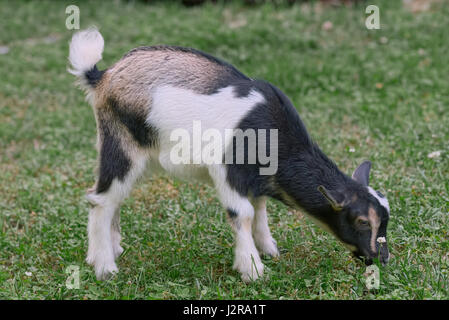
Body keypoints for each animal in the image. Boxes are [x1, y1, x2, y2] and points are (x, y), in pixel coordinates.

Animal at [67, 28, 388, 282]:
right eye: (362, 221)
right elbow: (242, 213)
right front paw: (252, 270)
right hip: (121, 144)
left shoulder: (256, 179)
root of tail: (102, 77)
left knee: (113, 196)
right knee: (101, 199)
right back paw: (105, 267)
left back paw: (109, 250)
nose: (381, 258)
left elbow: (260, 208)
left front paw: (268, 250)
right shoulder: (228, 170)